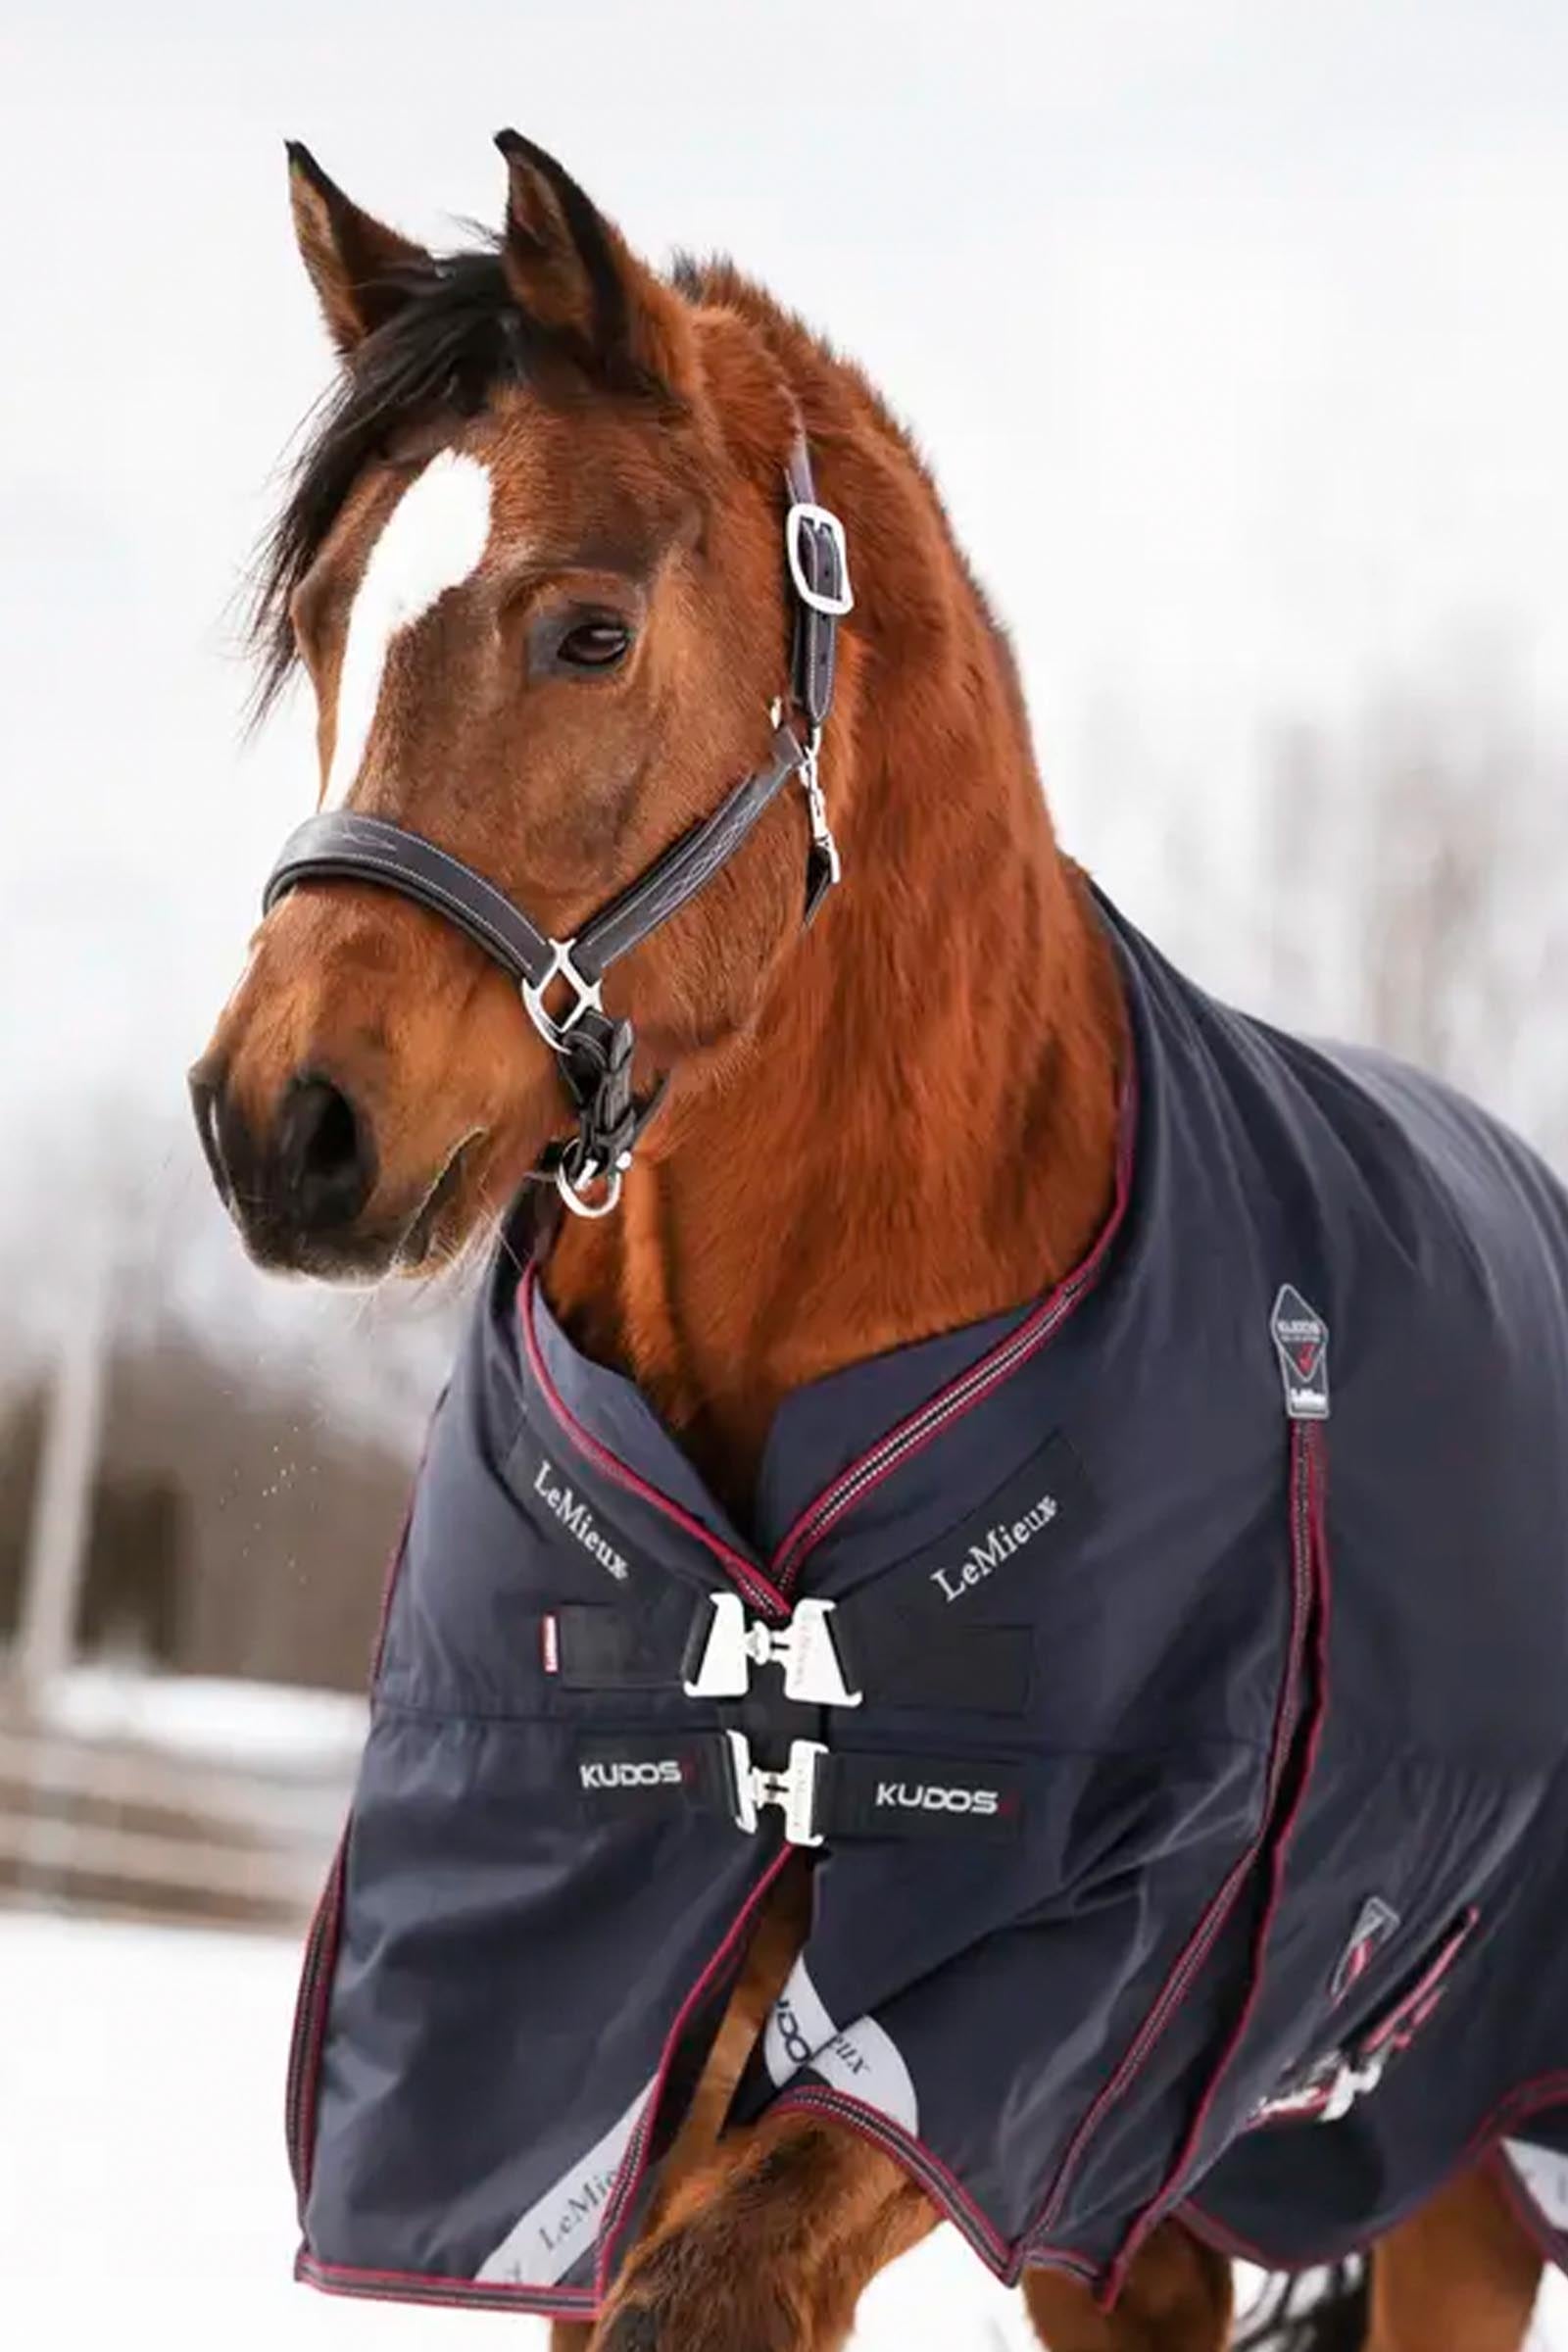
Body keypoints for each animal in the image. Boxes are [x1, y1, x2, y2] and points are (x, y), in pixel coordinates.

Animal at [189, 134, 1558, 2351]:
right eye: (321, 621)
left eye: (587, 633)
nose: (274, 1127)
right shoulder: (623, 2011)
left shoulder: (1033, 1992)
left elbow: (717, 2280)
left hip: (1452, 2173)